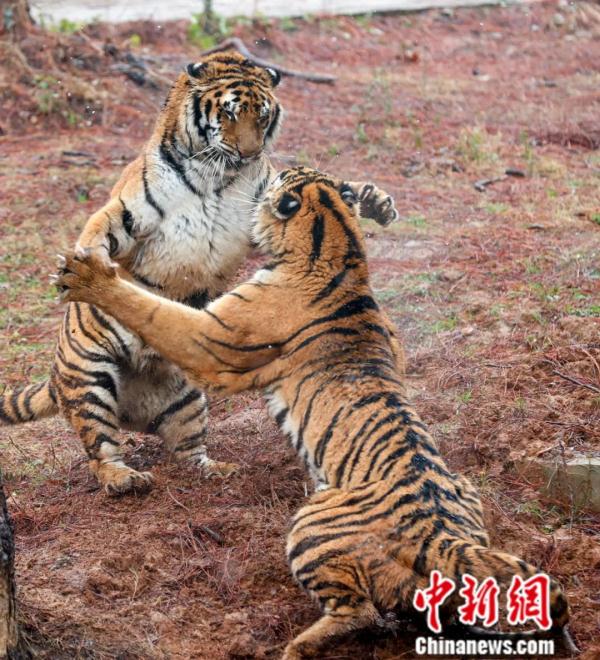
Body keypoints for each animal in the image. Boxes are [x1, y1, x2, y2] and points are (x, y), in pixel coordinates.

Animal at [55, 166, 571, 658]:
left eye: (283, 178)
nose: (268, 176)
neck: (343, 249)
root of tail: (443, 536)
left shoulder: (213, 338)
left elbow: (154, 311)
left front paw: (89, 278)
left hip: (312, 522)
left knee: (360, 611)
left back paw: (297, 647)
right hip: (465, 499)